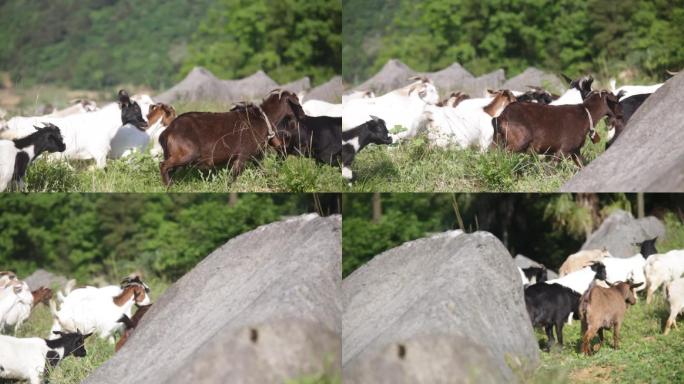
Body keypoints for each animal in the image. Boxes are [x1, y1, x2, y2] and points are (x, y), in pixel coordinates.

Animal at [160, 90, 302, 186]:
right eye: (298, 105)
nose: (303, 115)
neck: (262, 119)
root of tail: (168, 131)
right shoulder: (242, 155)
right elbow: (233, 178)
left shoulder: (255, 156)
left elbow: (263, 171)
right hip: (188, 154)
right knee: (163, 165)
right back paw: (169, 187)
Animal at [494, 92, 624, 167]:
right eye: (617, 102)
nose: (622, 115)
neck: (586, 114)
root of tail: (502, 116)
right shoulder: (563, 150)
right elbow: (551, 168)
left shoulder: (575, 151)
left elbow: (582, 166)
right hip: (520, 141)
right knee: (504, 155)